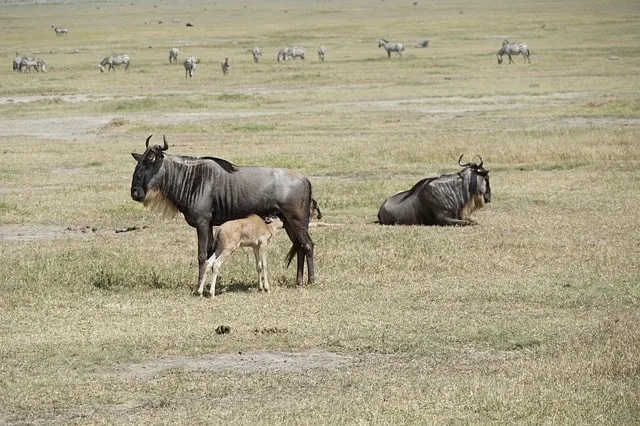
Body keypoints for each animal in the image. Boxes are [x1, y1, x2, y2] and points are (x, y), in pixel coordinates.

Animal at [130, 135, 315, 294]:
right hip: (289, 223)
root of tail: (305, 179)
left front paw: (199, 287)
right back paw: (299, 281)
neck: (189, 179)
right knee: (299, 246)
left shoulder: (202, 223)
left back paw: (311, 281)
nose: (135, 193)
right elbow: (211, 253)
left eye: (150, 161)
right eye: (138, 163)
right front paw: (212, 284)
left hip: (297, 221)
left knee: (307, 245)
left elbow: (202, 255)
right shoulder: (209, 225)